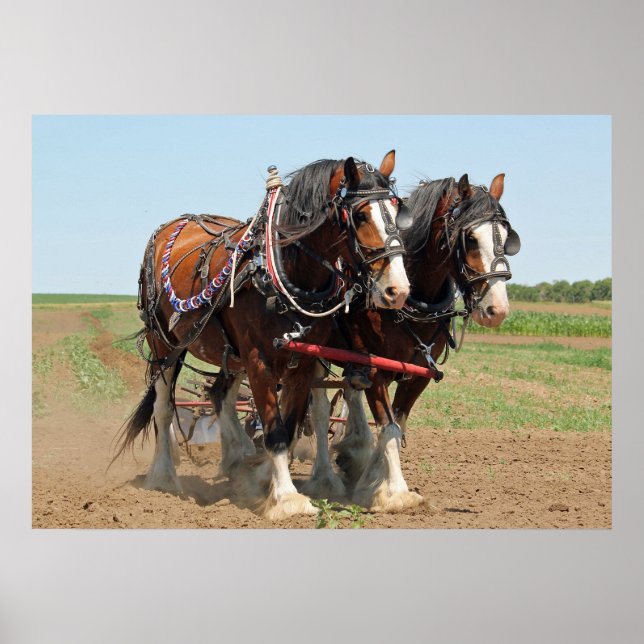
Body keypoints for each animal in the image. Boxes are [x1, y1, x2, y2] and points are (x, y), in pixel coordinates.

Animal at [114, 151, 412, 519]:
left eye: (398, 211)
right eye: (359, 215)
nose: (398, 290)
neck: (284, 270)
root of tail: (174, 224)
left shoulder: (303, 361)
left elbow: (290, 424)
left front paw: (265, 483)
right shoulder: (258, 360)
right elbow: (274, 430)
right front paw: (286, 498)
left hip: (228, 353)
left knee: (220, 395)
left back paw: (238, 457)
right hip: (165, 345)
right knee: (164, 407)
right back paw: (164, 476)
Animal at [304, 173, 521, 512]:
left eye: (506, 235)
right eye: (471, 239)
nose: (496, 310)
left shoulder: (418, 374)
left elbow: (397, 425)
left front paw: (371, 477)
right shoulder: (376, 370)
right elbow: (389, 427)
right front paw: (396, 492)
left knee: (350, 394)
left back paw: (354, 452)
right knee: (321, 409)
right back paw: (325, 478)